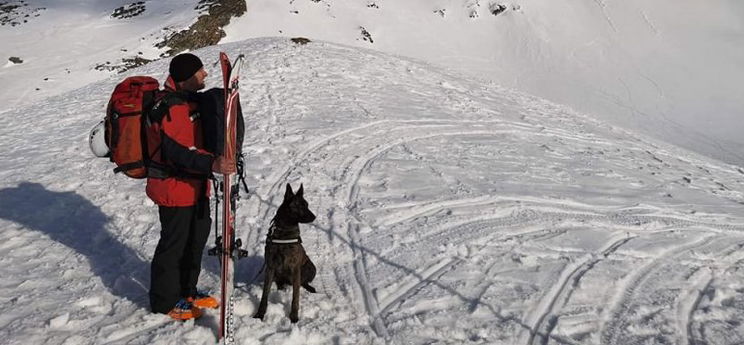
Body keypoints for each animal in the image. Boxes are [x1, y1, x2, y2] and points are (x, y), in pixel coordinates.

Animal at [254, 183, 316, 322]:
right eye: (300, 206)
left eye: (307, 204)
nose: (314, 217)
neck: (284, 231)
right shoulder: (270, 267)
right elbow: (264, 295)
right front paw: (260, 314)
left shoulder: (295, 268)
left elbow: (295, 297)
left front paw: (293, 317)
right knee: (281, 282)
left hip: (310, 267)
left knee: (303, 282)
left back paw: (309, 287)